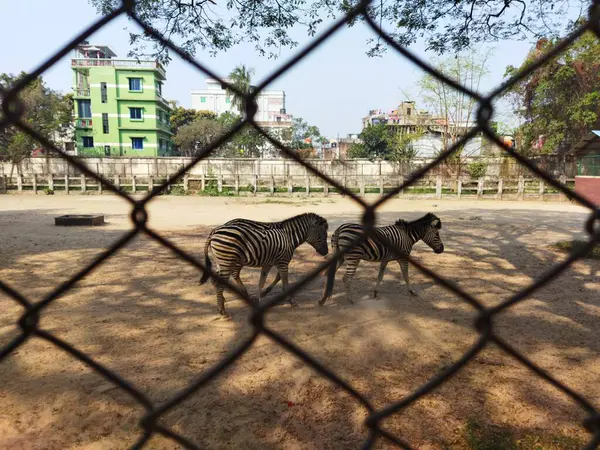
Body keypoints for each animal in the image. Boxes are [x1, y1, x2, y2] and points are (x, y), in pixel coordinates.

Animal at [199, 214, 328, 316]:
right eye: (322, 235)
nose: (326, 252)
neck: (288, 238)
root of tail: (215, 230)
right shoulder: (283, 262)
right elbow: (284, 282)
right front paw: (291, 301)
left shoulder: (270, 263)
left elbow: (263, 281)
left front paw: (259, 297)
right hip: (228, 260)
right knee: (225, 280)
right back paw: (222, 310)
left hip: (223, 260)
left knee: (221, 277)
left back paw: (225, 299)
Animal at [318, 212, 446, 306]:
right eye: (437, 234)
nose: (442, 249)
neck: (407, 236)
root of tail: (339, 229)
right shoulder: (403, 258)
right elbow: (406, 276)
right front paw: (411, 291)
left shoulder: (385, 259)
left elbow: (380, 276)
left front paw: (375, 293)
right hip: (353, 257)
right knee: (346, 278)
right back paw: (350, 300)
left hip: (340, 256)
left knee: (329, 273)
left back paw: (323, 299)